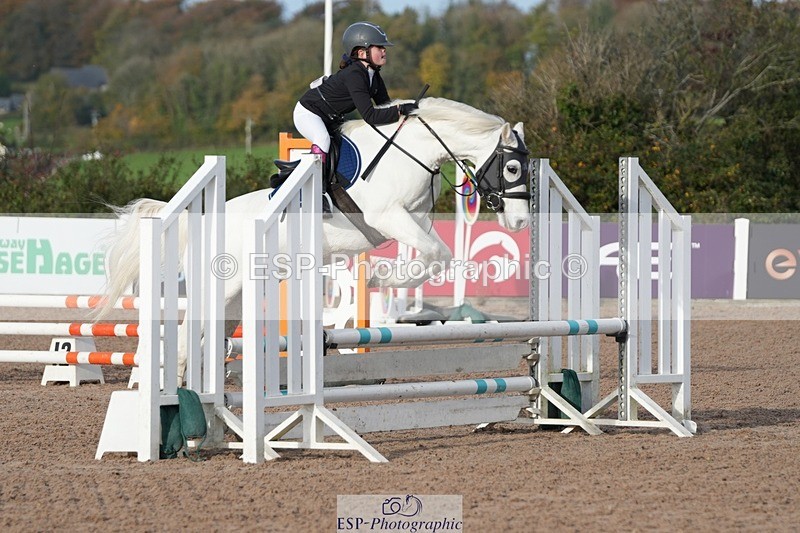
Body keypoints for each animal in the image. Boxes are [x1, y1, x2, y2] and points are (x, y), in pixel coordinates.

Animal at [100, 97, 531, 379]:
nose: (521, 222)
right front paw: (378, 278)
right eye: (511, 168)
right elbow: (437, 254)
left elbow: (435, 255)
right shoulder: (388, 217)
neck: (412, 150)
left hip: (235, 298)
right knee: (187, 338)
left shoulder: (415, 221)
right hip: (220, 287)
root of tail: (203, 220)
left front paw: (381, 278)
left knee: (210, 340)